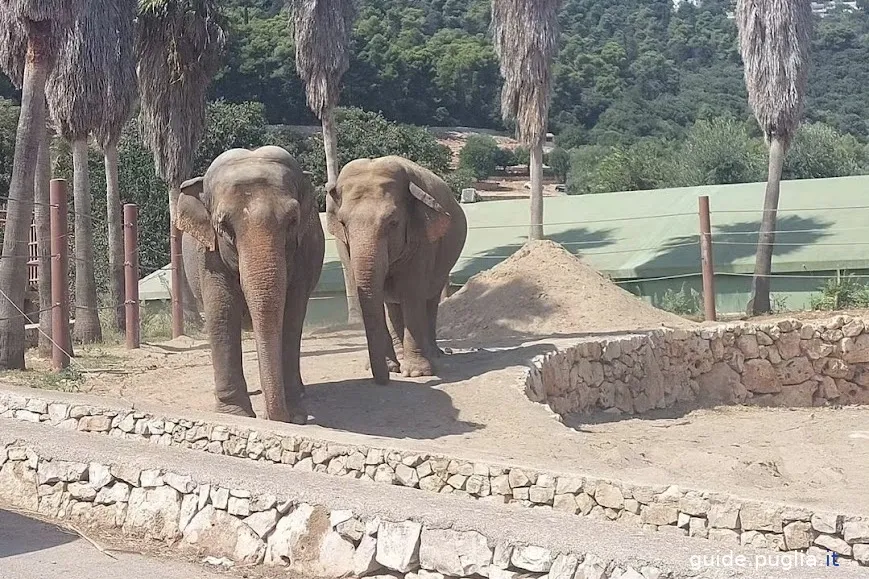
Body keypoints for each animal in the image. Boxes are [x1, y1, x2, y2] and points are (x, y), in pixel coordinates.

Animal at [176, 147, 326, 424]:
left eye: (293, 220)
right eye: (223, 227)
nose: (273, 416)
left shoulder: (303, 254)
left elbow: (291, 316)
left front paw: (297, 415)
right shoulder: (209, 257)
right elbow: (222, 313)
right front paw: (235, 413)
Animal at [326, 156, 464, 388]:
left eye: (393, 223)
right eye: (343, 223)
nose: (384, 381)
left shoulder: (423, 240)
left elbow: (412, 295)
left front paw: (417, 373)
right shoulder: (343, 245)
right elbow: (371, 295)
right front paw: (392, 367)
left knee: (429, 300)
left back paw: (432, 354)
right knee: (392, 305)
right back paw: (400, 358)